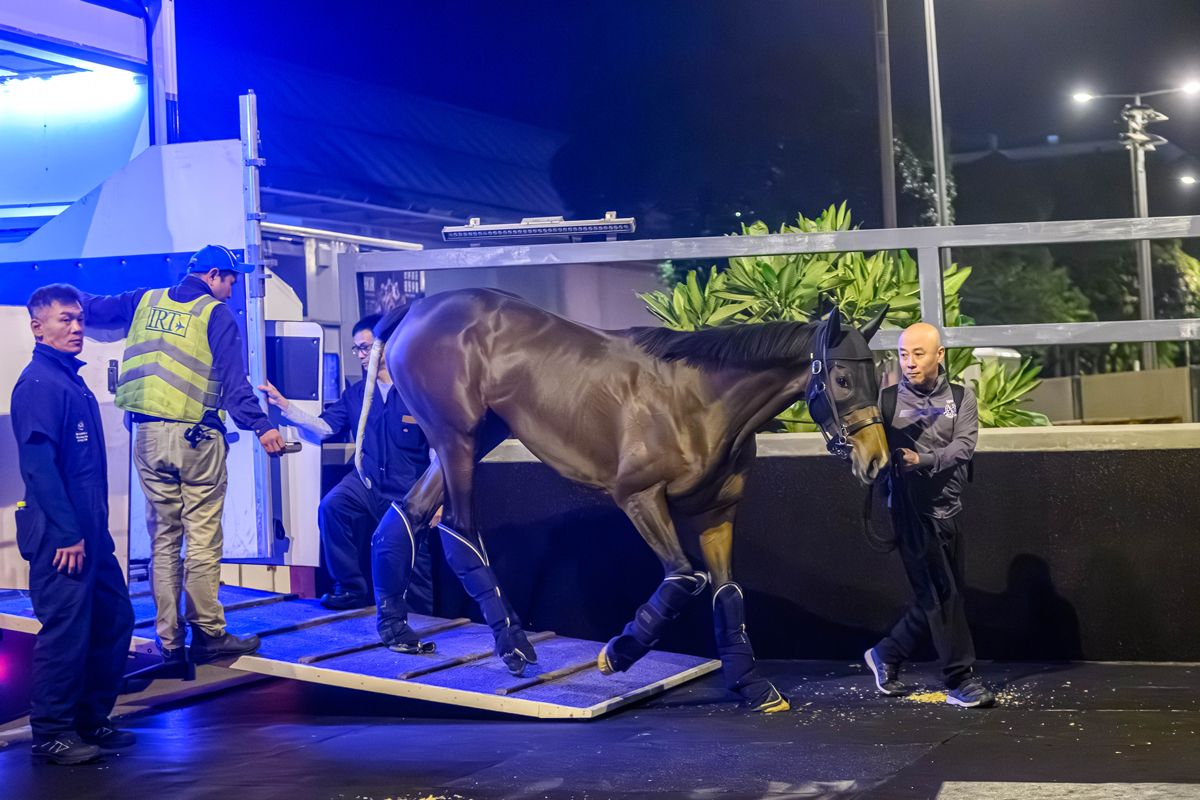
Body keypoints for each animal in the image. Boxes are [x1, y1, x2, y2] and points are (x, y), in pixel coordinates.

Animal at [357, 289, 892, 714]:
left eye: (878, 378)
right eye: (843, 379)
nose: (877, 462)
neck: (698, 401)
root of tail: (416, 308)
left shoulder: (717, 514)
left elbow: (727, 593)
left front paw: (752, 685)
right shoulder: (639, 498)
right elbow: (684, 578)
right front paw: (617, 652)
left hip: (480, 435)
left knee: (407, 514)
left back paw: (397, 633)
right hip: (457, 439)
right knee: (459, 529)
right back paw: (512, 645)